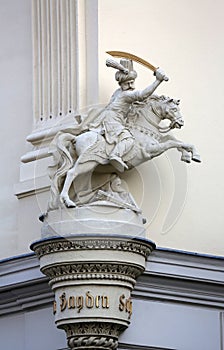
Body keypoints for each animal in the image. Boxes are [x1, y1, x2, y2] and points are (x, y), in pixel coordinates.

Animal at [48, 94, 200, 209]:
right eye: (174, 109)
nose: (181, 123)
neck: (142, 129)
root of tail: (75, 138)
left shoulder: (157, 144)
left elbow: (172, 138)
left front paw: (190, 154)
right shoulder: (151, 150)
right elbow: (171, 142)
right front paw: (192, 154)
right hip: (88, 162)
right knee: (71, 173)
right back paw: (68, 201)